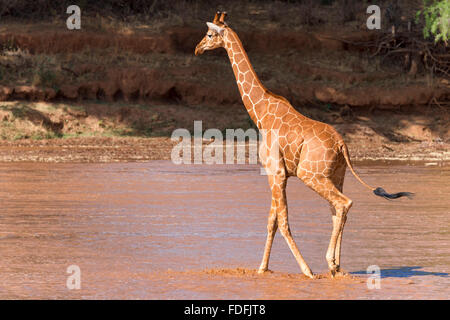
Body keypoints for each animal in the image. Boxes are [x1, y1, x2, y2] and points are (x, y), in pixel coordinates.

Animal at [193, 11, 412, 278]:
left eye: (209, 34)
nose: (197, 48)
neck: (260, 114)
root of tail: (342, 145)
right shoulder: (276, 174)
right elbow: (272, 221)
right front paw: (262, 269)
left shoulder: (276, 172)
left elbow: (283, 222)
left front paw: (306, 271)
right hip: (335, 175)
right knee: (337, 210)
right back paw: (336, 267)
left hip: (312, 175)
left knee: (343, 203)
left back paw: (329, 262)